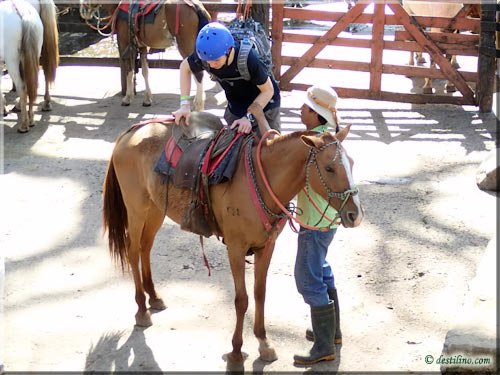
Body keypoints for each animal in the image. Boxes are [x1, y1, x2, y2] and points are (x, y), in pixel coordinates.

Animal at [0, 0, 43, 132]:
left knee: (22, 87)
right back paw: (31, 120)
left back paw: (24, 125)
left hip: (12, 60)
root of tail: (22, 13)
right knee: (32, 83)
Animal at [79, 0, 209, 108]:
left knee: (198, 73)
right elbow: (145, 72)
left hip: (185, 46)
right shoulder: (142, 47)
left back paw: (198, 105)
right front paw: (147, 99)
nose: (83, 10)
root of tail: (196, 6)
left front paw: (127, 98)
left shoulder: (124, 44)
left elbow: (129, 71)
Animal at [101, 111, 364, 364]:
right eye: (329, 168)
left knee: (145, 247)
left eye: (352, 163)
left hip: (156, 209)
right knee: (132, 251)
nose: (355, 214)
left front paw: (264, 343)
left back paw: (154, 298)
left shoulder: (266, 247)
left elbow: (260, 294)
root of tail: (131, 131)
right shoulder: (236, 248)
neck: (260, 181)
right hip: (136, 210)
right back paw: (141, 310)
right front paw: (236, 351)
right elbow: (241, 300)